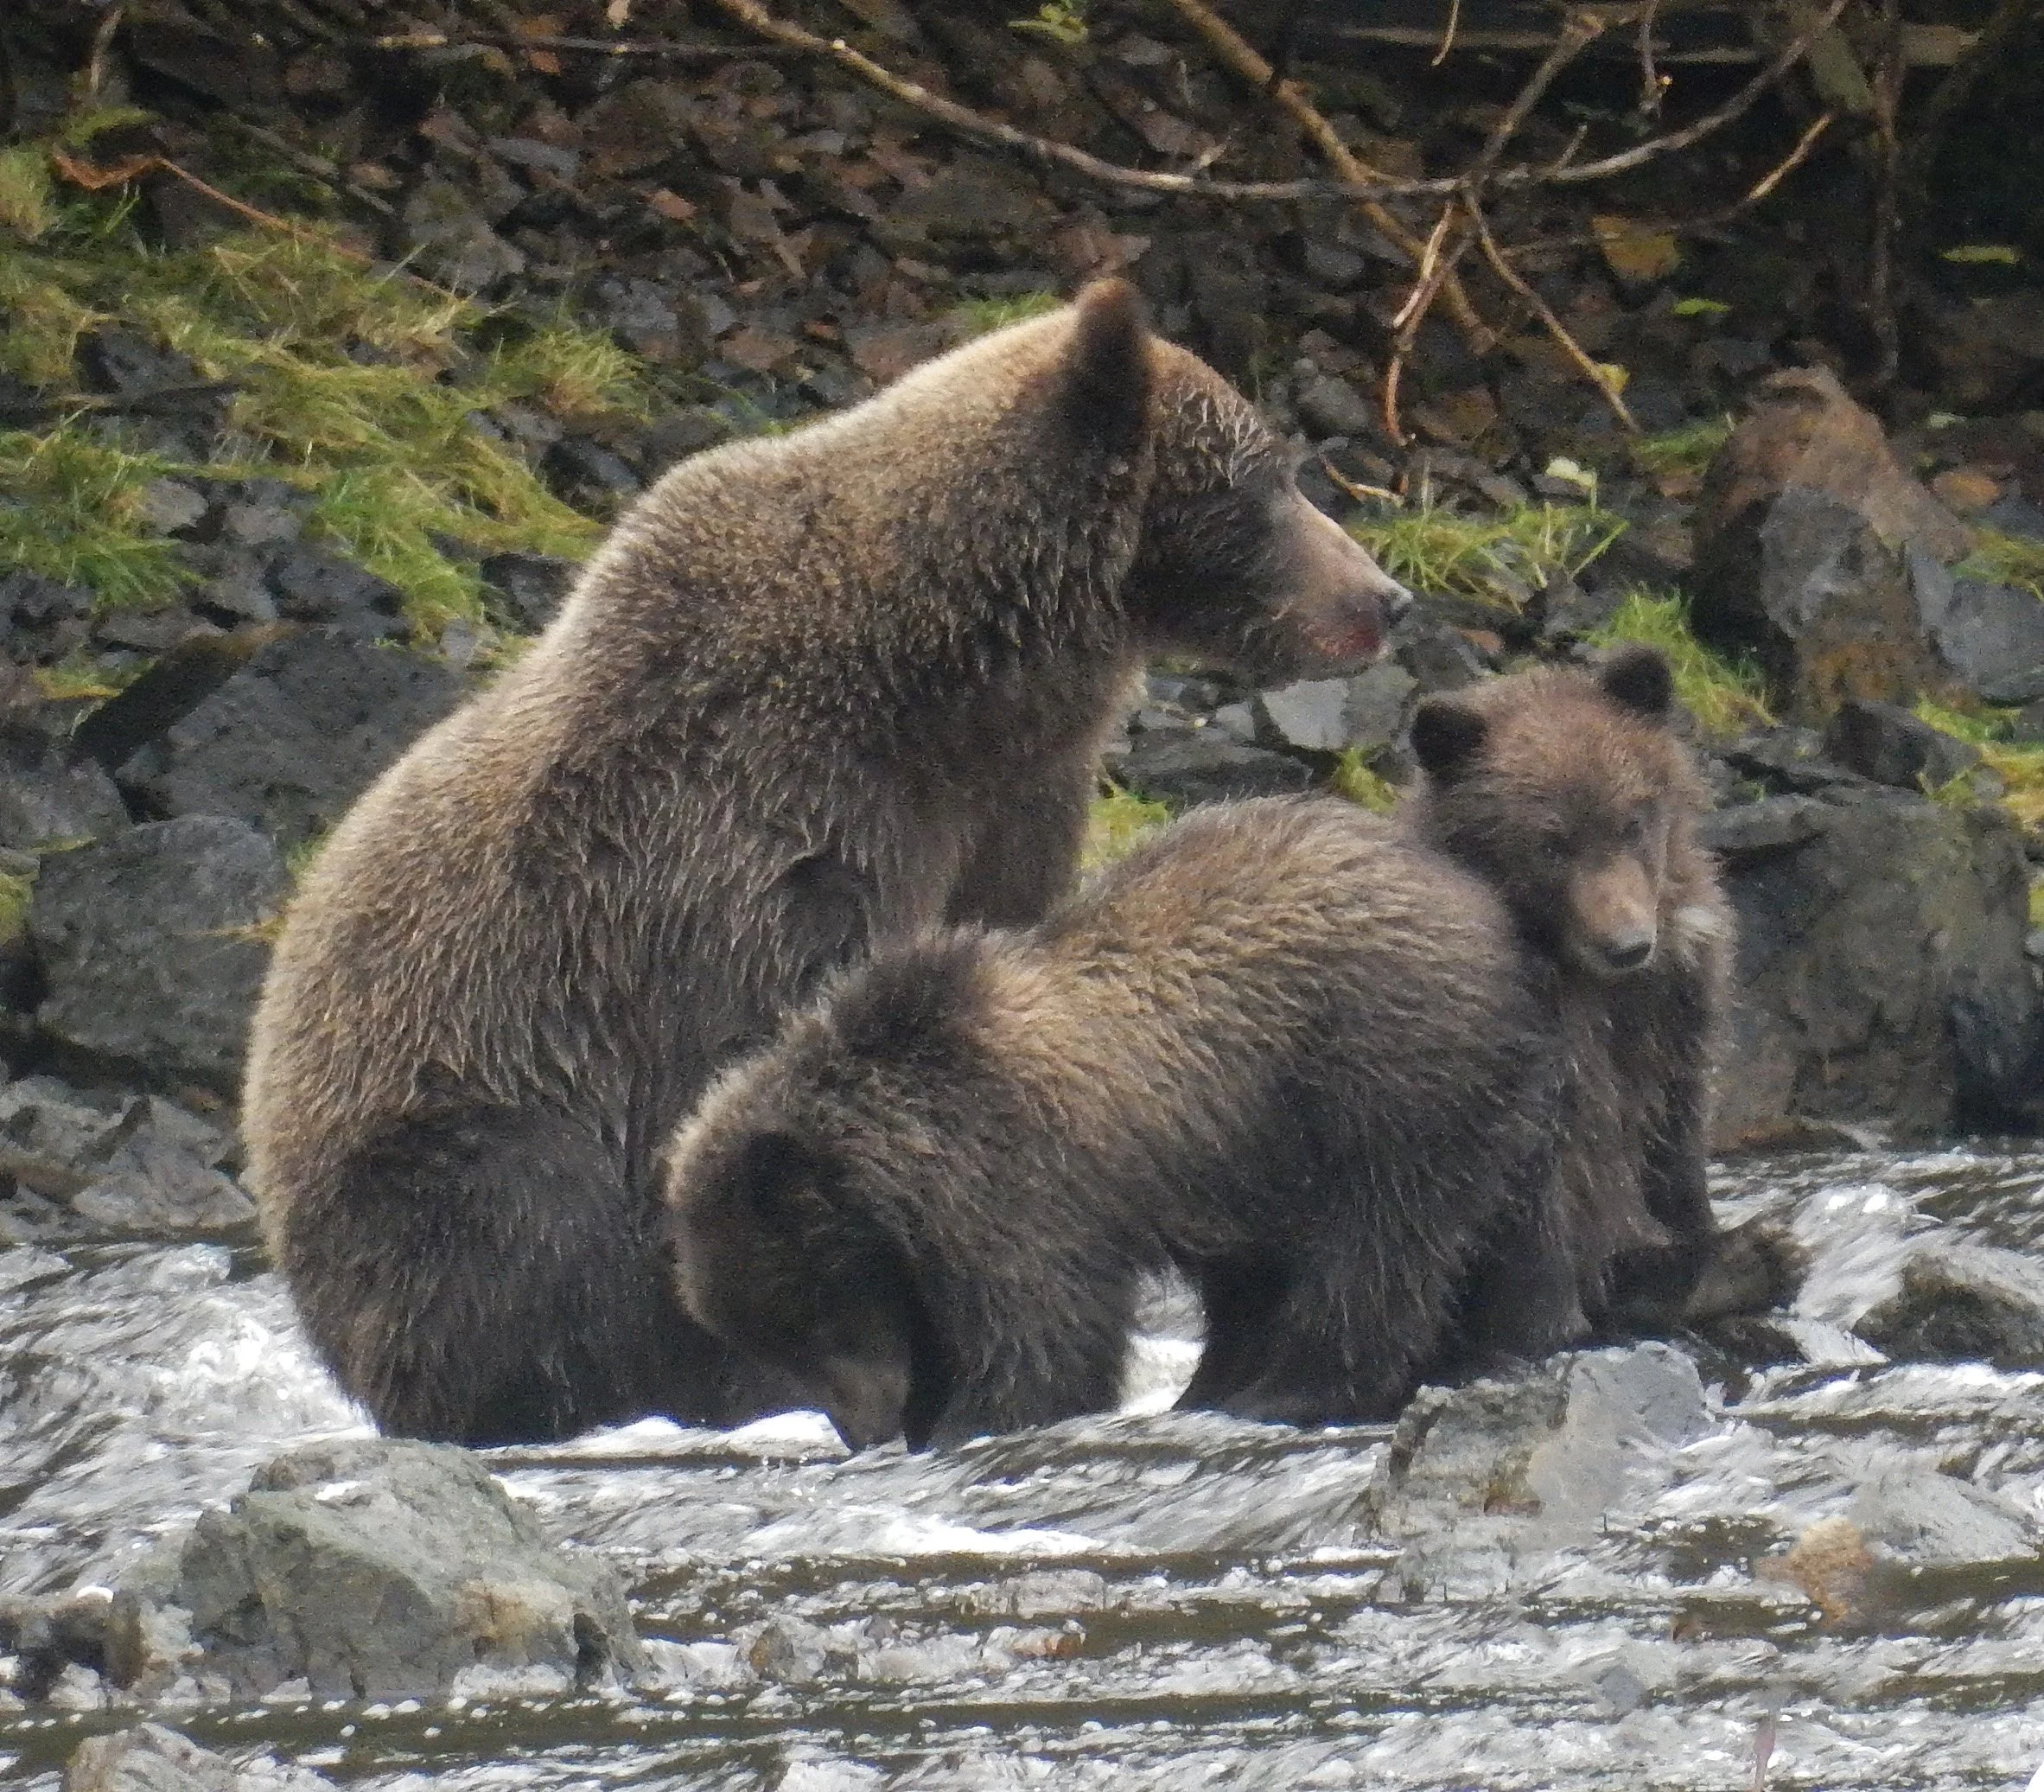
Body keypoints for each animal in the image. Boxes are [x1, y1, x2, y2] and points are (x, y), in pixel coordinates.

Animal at [241, 279, 1411, 1446]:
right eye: (1268, 479)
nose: (1386, 596)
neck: (950, 684)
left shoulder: (1009, 807)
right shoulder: (752, 834)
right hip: (444, 1130)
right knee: (528, 1236)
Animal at [660, 795, 1562, 1452]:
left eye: (812, 1315)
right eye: (770, 1340)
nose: (866, 1430)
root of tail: (1472, 897)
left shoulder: (1015, 1180)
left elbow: (1043, 1330)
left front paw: (975, 1419)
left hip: (1377, 1075)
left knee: (1381, 1235)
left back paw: (1292, 1386)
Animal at [1402, 645, 1735, 1361]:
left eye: (1631, 820)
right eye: (1550, 841)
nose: (1626, 944)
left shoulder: (1673, 1003)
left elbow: (1674, 1137)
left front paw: (1698, 1239)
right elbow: (1537, 1188)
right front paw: (1551, 1322)